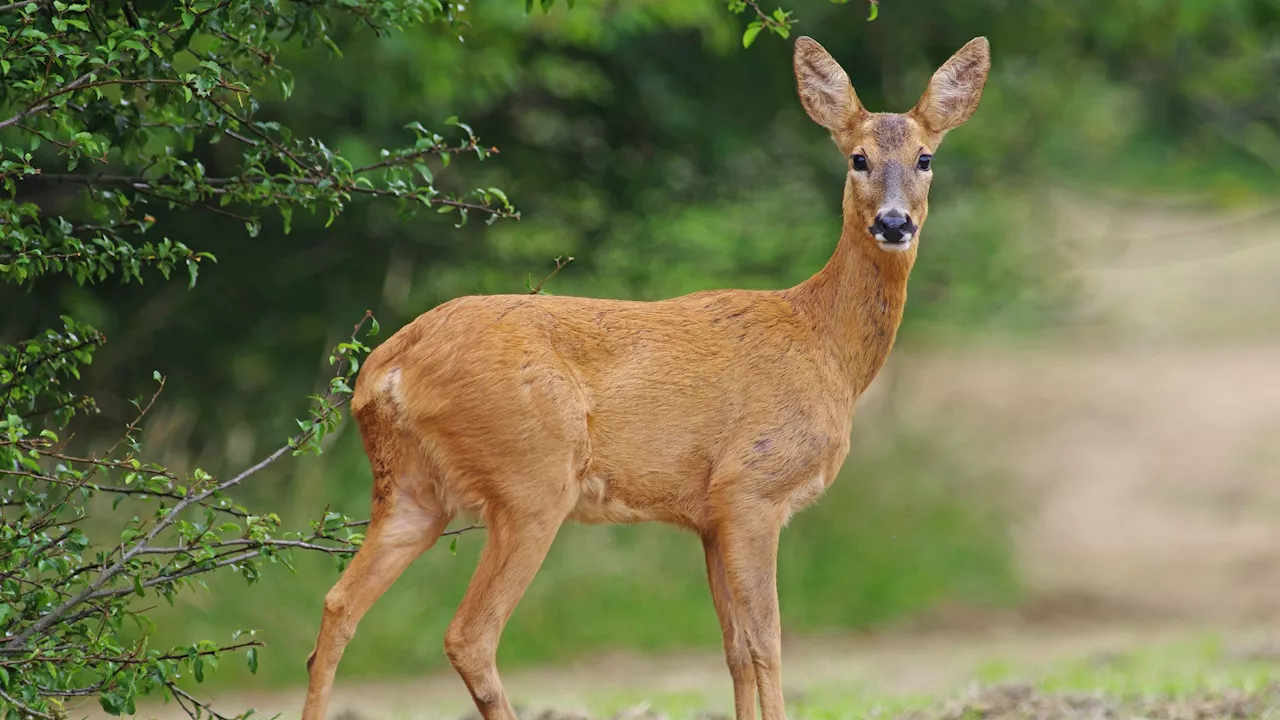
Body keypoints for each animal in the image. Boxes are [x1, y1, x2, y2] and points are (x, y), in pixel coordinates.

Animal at [299, 33, 988, 720]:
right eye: (858, 159)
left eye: (925, 157)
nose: (894, 223)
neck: (826, 346)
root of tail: (386, 370)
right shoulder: (751, 486)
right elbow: (768, 643)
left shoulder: (708, 515)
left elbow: (735, 651)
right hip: (531, 477)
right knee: (470, 635)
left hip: (412, 489)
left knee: (337, 606)